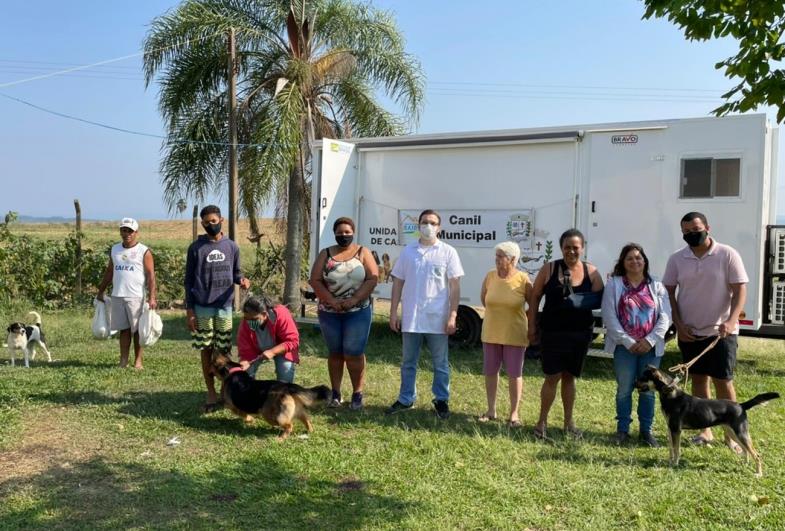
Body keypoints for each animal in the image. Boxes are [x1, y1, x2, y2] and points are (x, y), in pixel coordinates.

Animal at [636, 366, 776, 478]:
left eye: (643, 377)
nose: (634, 383)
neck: (671, 394)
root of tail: (741, 406)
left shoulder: (676, 430)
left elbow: (676, 449)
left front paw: (675, 464)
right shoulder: (670, 429)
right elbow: (671, 448)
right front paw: (670, 462)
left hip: (740, 433)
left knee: (756, 455)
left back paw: (758, 474)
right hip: (733, 432)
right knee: (746, 450)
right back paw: (745, 464)